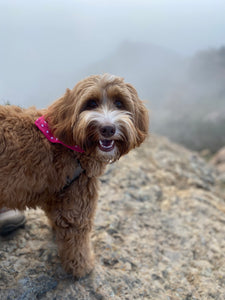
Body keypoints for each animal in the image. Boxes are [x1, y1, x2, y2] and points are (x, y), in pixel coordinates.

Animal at [0, 74, 149, 278]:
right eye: (91, 103)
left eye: (119, 103)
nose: (108, 129)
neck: (69, 144)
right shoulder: (77, 202)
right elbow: (78, 241)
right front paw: (83, 268)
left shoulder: (58, 197)